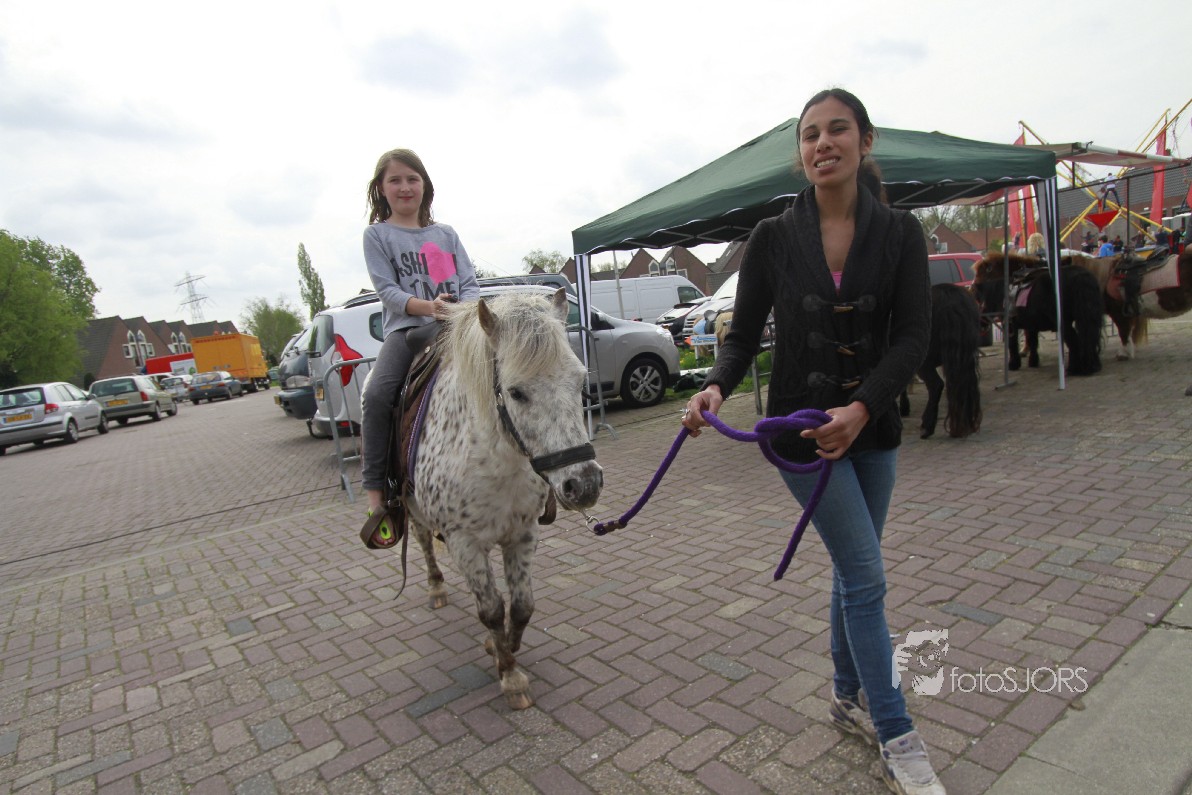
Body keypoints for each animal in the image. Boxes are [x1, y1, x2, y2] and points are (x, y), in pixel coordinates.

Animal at [387, 289, 603, 710]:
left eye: (580, 380)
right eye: (517, 391)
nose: (584, 484)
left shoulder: (522, 534)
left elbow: (520, 606)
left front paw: (501, 647)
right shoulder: (464, 541)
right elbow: (490, 608)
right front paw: (509, 674)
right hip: (413, 508)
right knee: (423, 541)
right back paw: (436, 588)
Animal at [971, 253, 1104, 376]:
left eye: (979, 275)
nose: (972, 288)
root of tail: (1081, 277)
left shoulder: (1009, 324)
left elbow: (1013, 344)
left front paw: (1013, 364)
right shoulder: (1031, 324)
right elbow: (1032, 341)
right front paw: (1033, 361)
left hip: (1064, 323)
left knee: (1074, 342)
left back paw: (1073, 369)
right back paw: (1092, 365)